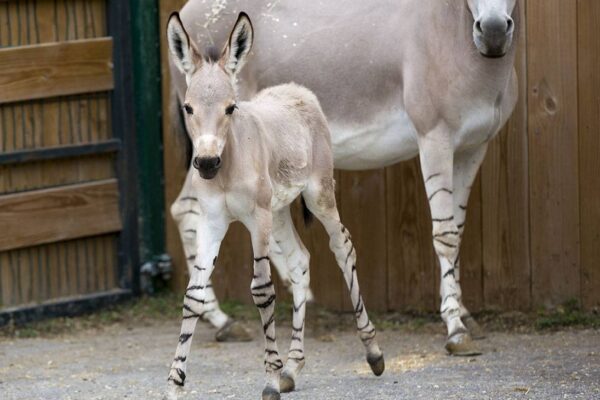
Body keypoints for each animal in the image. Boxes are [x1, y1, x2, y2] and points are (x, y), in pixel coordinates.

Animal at [165, 12, 384, 400]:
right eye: (188, 108)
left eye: (230, 108)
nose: (205, 164)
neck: (229, 163)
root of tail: (296, 89)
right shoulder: (212, 221)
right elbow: (193, 295)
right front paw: (175, 385)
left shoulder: (258, 218)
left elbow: (262, 289)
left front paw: (269, 378)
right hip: (281, 211)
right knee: (299, 260)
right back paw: (293, 367)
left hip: (317, 195)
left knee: (342, 246)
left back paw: (372, 352)